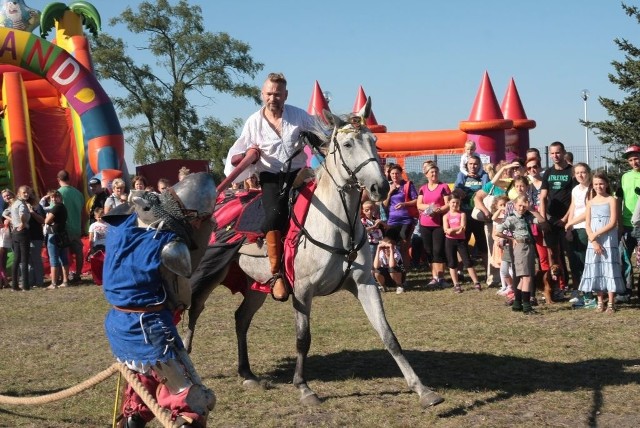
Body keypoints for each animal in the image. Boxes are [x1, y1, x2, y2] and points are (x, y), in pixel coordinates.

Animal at [185, 98, 444, 408]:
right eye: (347, 144)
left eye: (374, 141)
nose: (380, 187)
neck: (337, 223)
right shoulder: (303, 290)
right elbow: (303, 338)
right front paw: (304, 387)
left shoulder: (365, 284)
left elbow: (388, 334)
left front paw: (423, 389)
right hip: (211, 273)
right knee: (193, 310)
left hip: (256, 285)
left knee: (241, 318)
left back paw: (247, 374)